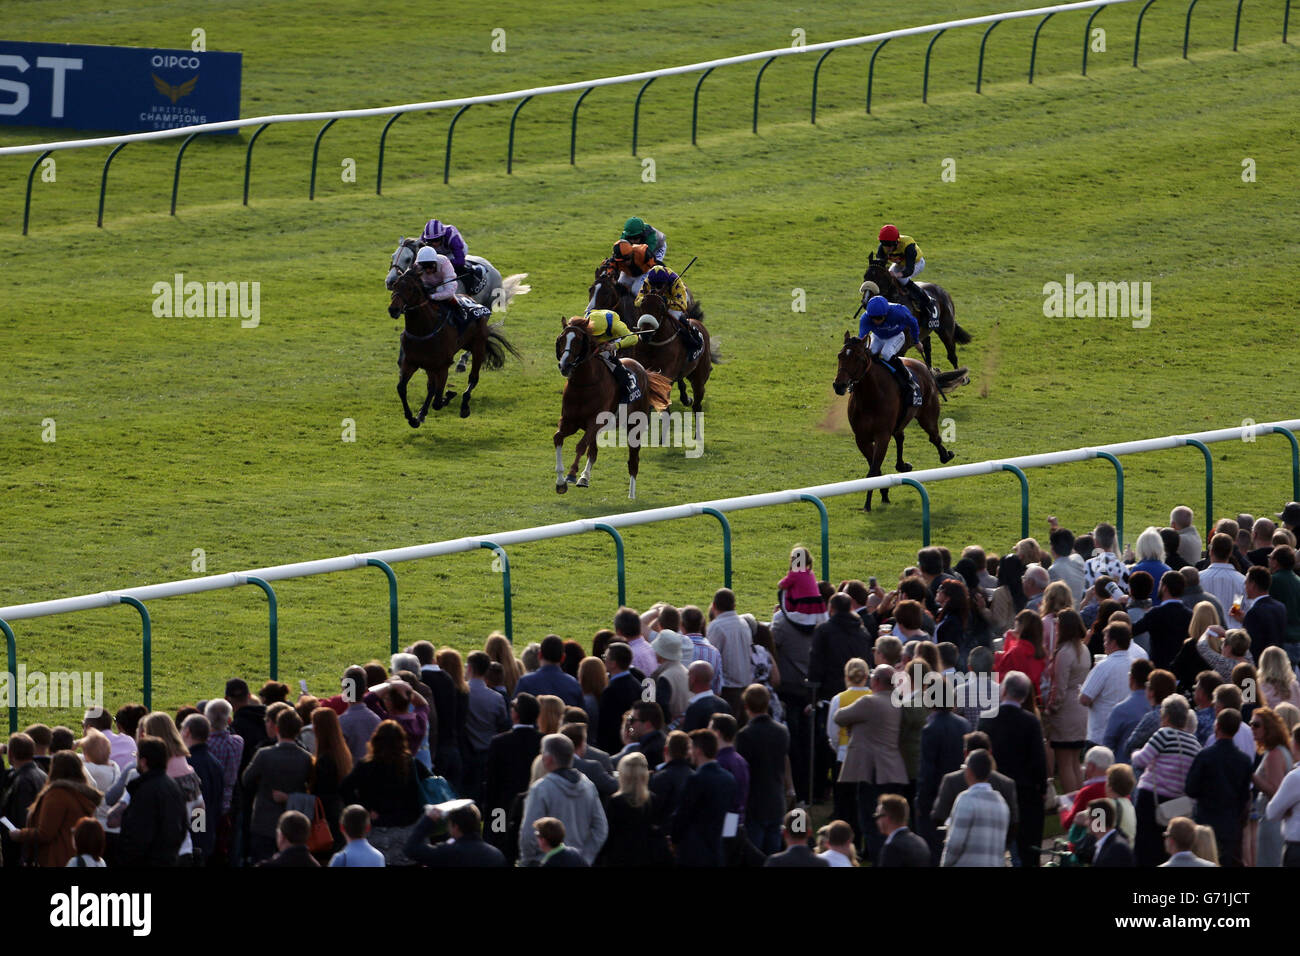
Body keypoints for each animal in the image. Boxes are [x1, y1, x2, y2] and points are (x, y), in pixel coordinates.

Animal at [384, 261, 517, 426]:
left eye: (411, 288)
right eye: (395, 285)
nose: (393, 309)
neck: (424, 329)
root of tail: (473, 301)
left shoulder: (442, 366)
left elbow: (438, 401)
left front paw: (448, 395)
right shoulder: (412, 362)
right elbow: (402, 388)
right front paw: (413, 417)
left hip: (478, 347)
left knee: (473, 378)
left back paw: (464, 405)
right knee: (431, 387)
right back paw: (422, 413)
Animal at [553, 319, 670, 504]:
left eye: (578, 340)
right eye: (561, 339)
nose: (564, 366)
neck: (584, 383)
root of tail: (644, 371)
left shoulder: (595, 421)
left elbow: (580, 446)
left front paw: (570, 475)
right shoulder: (569, 421)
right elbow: (558, 438)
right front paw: (560, 482)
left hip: (635, 426)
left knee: (633, 461)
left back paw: (631, 494)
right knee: (593, 452)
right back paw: (584, 478)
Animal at [832, 335, 967, 515]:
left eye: (858, 358)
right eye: (840, 355)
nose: (839, 385)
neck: (869, 397)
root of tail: (924, 367)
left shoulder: (882, 436)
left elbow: (873, 470)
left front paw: (868, 504)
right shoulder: (861, 438)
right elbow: (875, 468)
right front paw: (883, 492)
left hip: (927, 414)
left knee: (934, 437)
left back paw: (945, 455)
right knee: (901, 436)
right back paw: (902, 465)